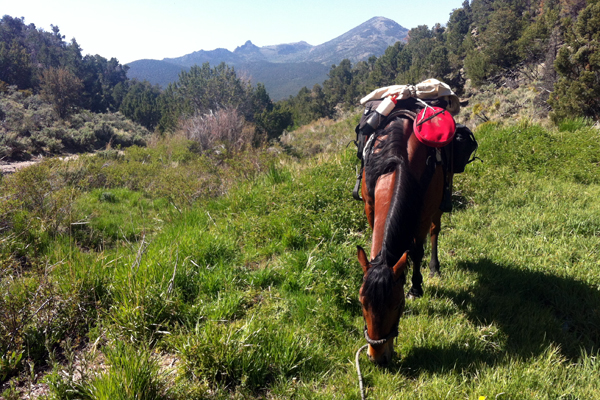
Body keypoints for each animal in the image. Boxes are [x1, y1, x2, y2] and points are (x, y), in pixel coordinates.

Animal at [356, 104, 450, 366]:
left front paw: (416, 287)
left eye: (398, 303)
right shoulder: (369, 205)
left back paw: (434, 267)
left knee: (434, 232)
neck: (397, 162)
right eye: (361, 302)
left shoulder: (424, 211)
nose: (378, 357)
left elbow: (416, 251)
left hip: (439, 202)